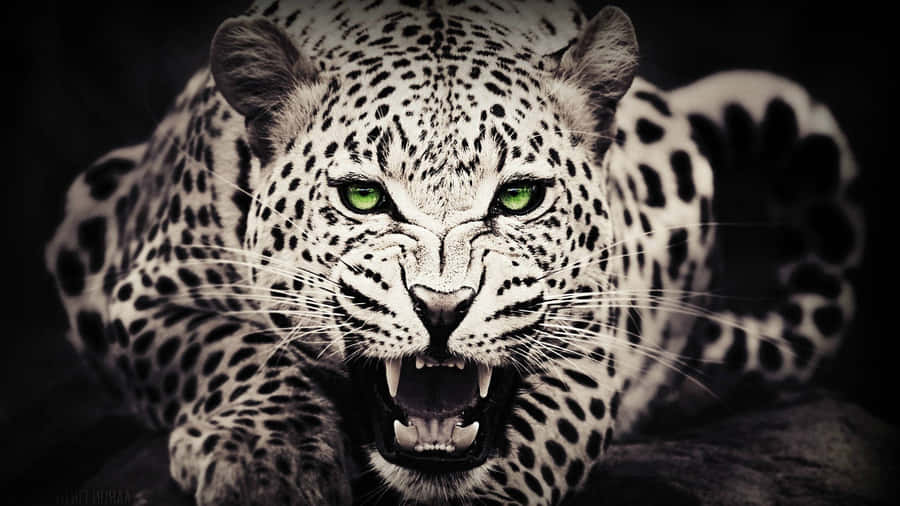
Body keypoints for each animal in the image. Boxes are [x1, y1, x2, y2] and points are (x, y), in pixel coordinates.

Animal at [45, 1, 864, 504]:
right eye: (364, 197)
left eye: (519, 197)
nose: (442, 308)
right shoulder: (144, 290)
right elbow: (228, 348)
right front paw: (266, 463)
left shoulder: (594, 334)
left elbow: (545, 426)